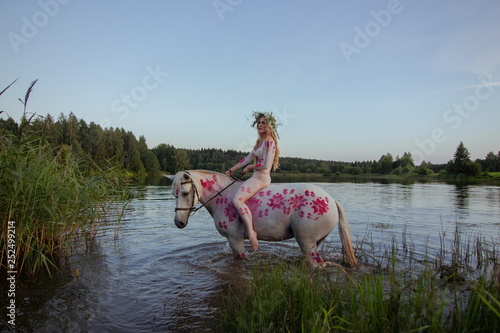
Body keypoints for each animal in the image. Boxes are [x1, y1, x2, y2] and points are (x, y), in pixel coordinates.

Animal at [170, 169, 358, 268]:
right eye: (174, 194)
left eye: (185, 193)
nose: (179, 222)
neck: (222, 196)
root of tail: (331, 200)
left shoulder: (235, 239)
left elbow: (241, 257)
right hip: (314, 242)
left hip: (306, 241)